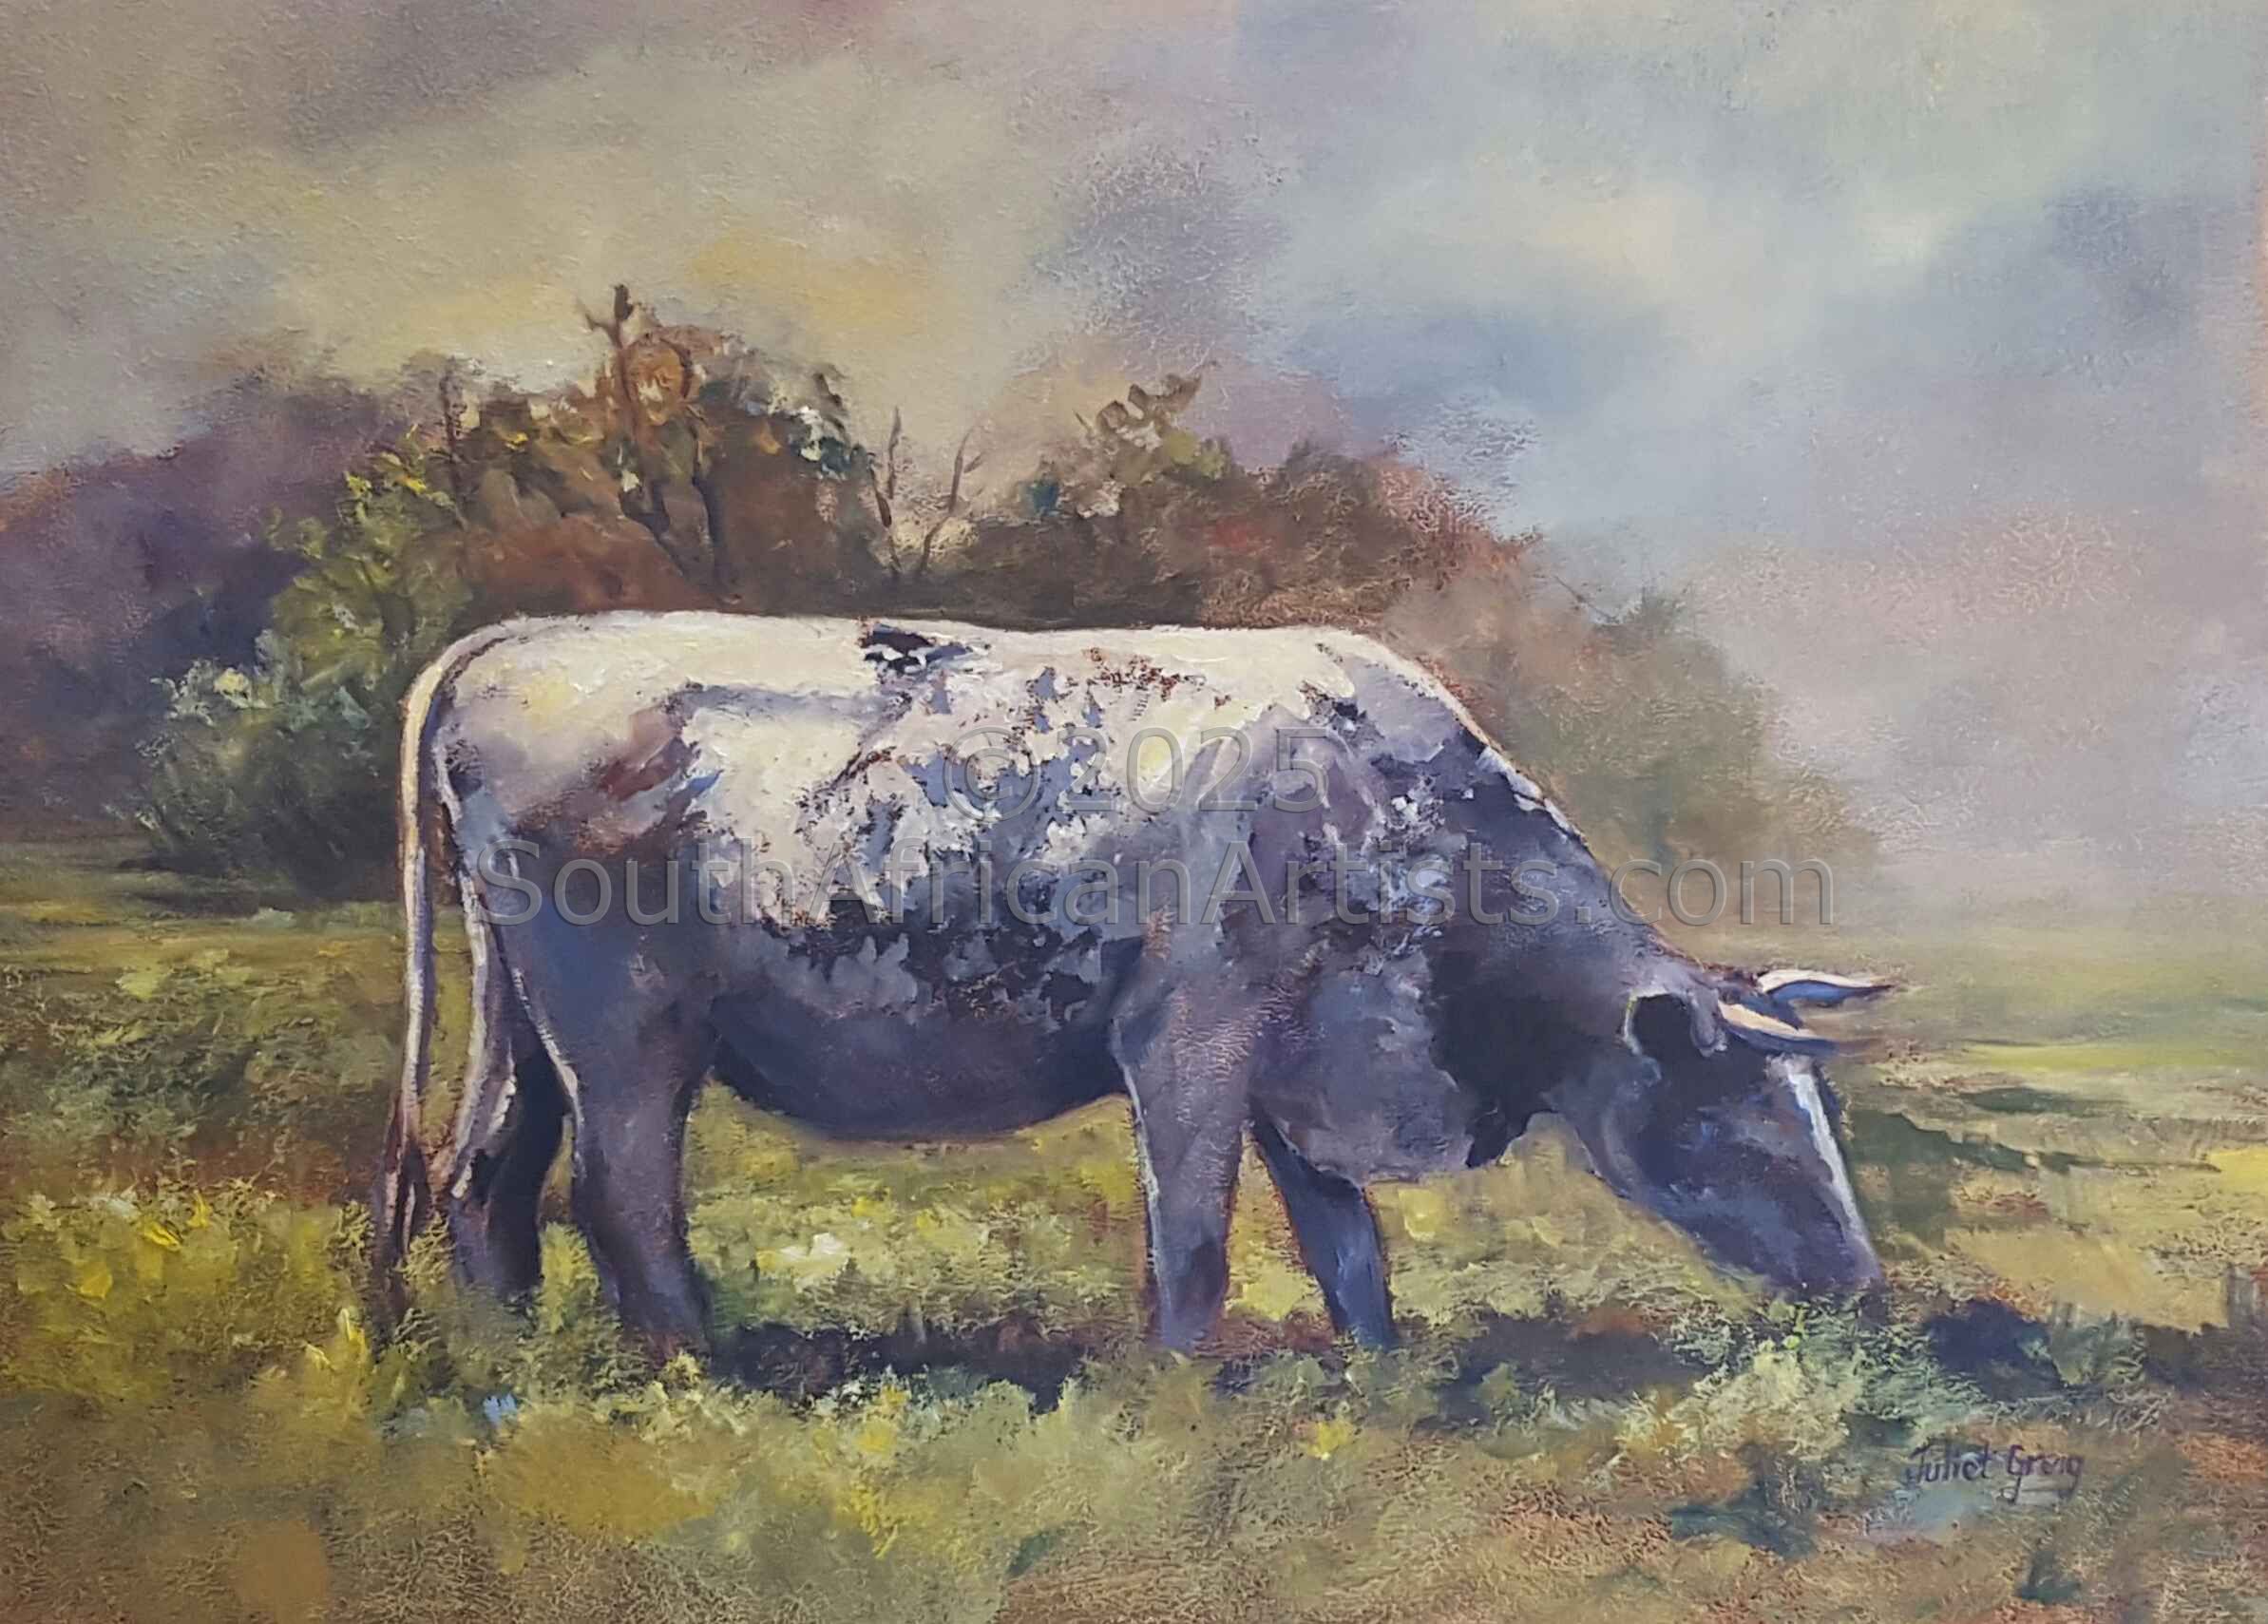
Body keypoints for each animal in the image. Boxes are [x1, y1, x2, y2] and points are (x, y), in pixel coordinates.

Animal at [372, 612, 1890, 1359]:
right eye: (1739, 1118)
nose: (1867, 1283)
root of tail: (508, 642)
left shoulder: (1300, 1067)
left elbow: (1347, 1247)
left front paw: (1383, 1382)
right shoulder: (1188, 1041)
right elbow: (1196, 1240)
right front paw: (1181, 1393)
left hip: (523, 1013)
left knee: (482, 1170)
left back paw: (510, 1369)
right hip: (623, 1027)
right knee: (616, 1192)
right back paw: (700, 1370)